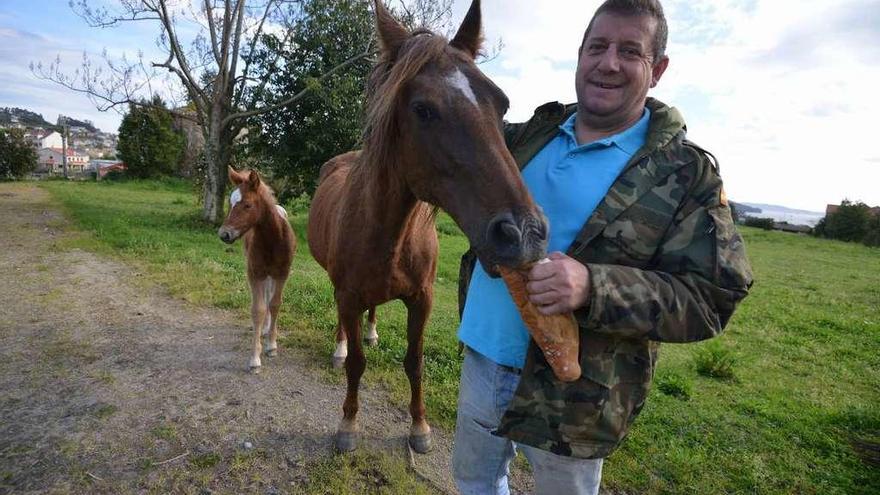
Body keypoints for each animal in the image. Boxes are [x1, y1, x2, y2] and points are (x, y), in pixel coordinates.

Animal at [218, 169, 298, 374]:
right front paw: (255, 359)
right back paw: (263, 329)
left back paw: (268, 329)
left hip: (272, 275)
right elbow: (258, 310)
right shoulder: (254, 274)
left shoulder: (282, 273)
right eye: (230, 203)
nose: (224, 234)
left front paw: (272, 346)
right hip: (262, 274)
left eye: (247, 205)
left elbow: (275, 304)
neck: (273, 240)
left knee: (270, 297)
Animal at [306, 0, 548, 456]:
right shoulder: (349, 295)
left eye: (502, 104)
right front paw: (348, 423)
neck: (390, 232)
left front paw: (419, 427)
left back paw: (370, 332)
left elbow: (414, 362)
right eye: (423, 109)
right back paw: (342, 344)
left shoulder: (423, 298)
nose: (523, 233)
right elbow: (357, 366)